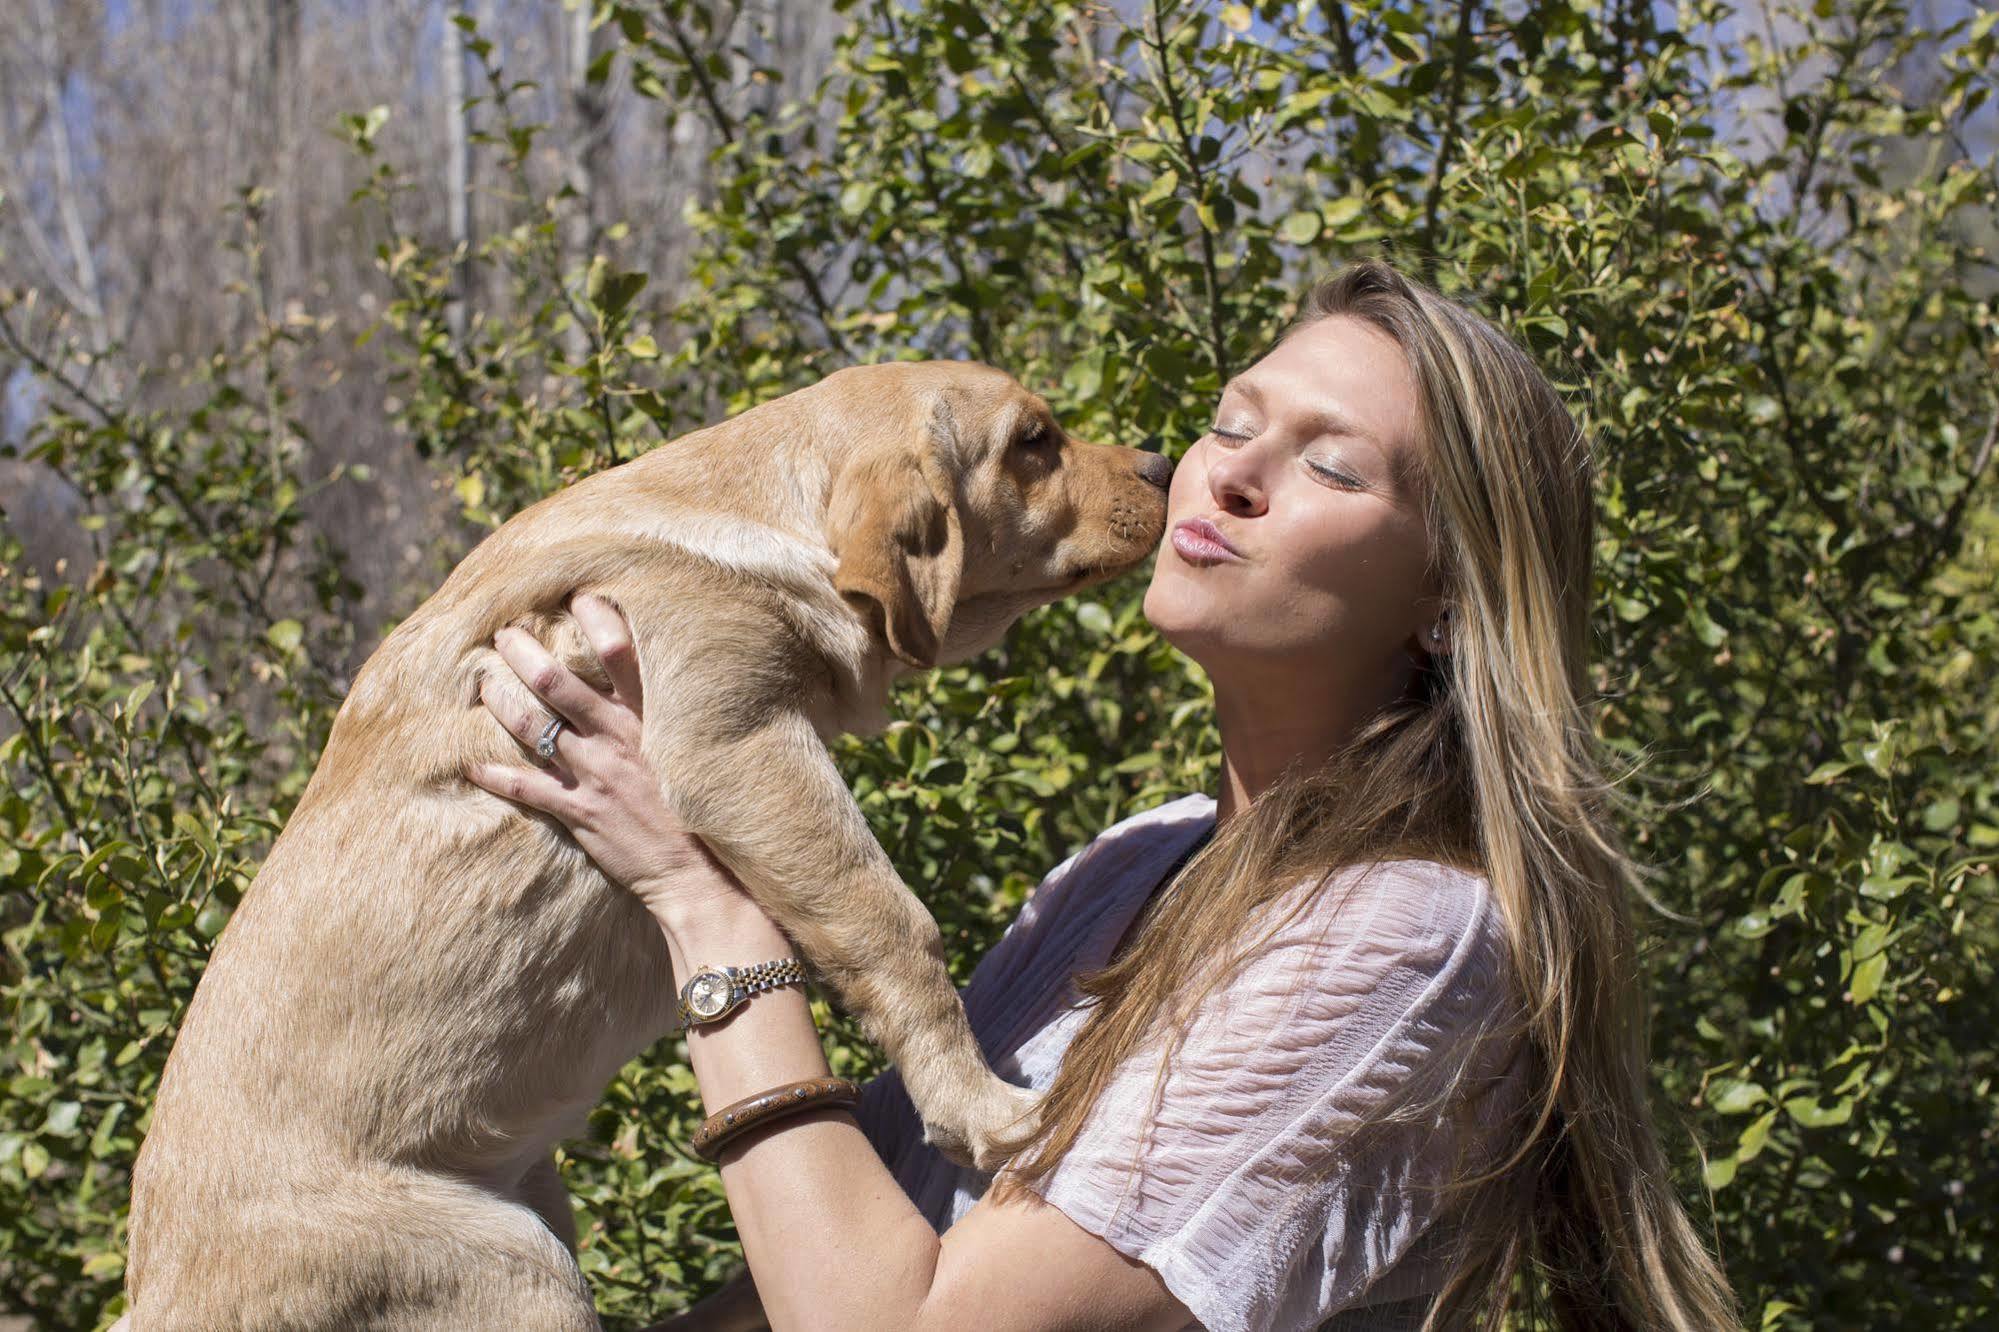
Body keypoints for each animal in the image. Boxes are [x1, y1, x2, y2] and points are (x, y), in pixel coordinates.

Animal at [120, 358, 1167, 1320]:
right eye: (1033, 442)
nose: (1162, 461)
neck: (763, 509)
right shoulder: (735, 748)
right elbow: (893, 924)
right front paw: (987, 1112)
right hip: (506, 1264)